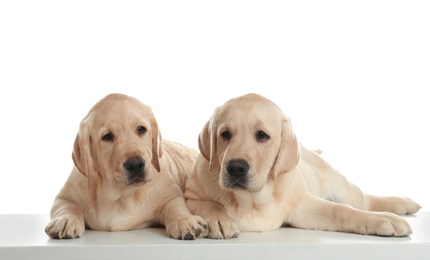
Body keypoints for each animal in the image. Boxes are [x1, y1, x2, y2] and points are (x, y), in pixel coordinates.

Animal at [46, 93, 207, 240]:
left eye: (141, 129)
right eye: (107, 136)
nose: (135, 165)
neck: (120, 196)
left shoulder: (171, 194)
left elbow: (175, 206)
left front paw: (184, 220)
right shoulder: (63, 197)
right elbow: (69, 206)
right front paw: (66, 220)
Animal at [185, 93, 420, 240]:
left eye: (262, 136)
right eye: (225, 134)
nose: (235, 168)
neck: (251, 200)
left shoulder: (301, 203)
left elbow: (341, 210)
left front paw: (381, 220)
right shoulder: (191, 196)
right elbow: (210, 205)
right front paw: (220, 220)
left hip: (338, 183)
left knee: (363, 200)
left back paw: (401, 204)